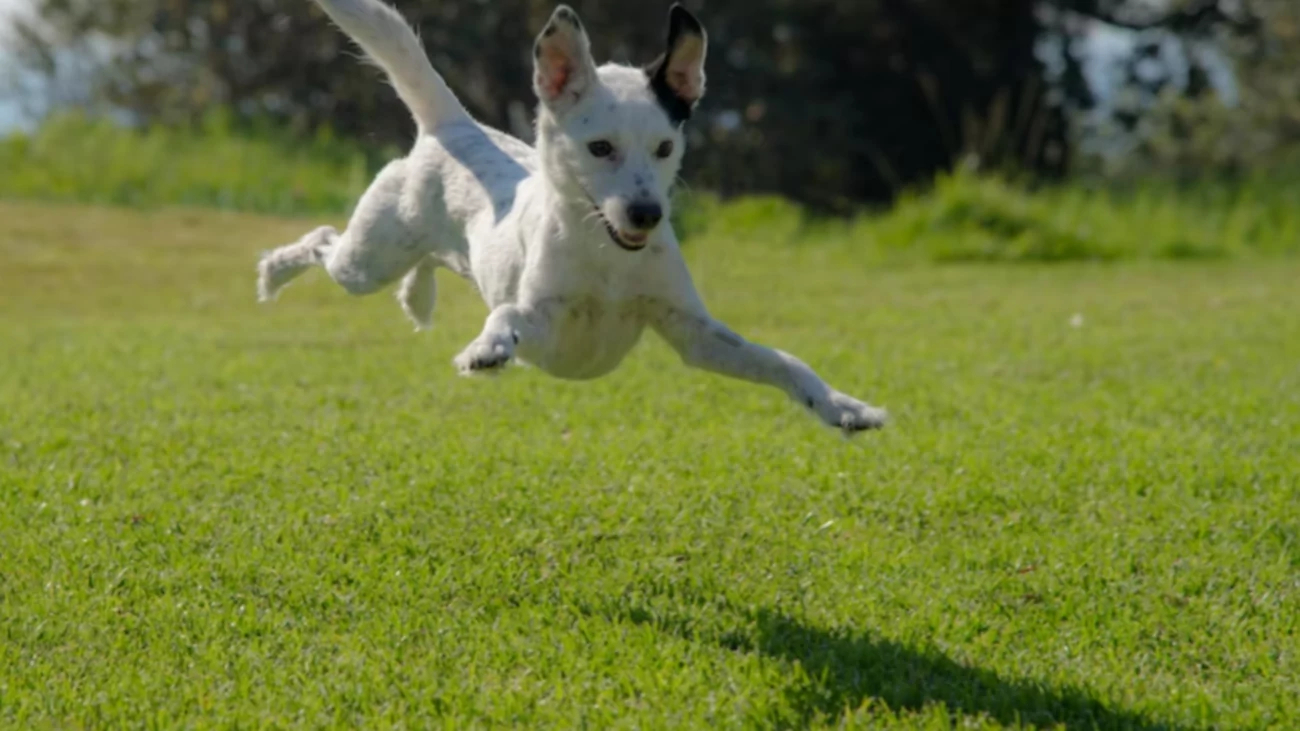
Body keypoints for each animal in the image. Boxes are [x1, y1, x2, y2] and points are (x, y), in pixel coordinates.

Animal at [256, 0, 883, 431]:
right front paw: (487, 349)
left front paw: (841, 406)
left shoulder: (695, 334)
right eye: (600, 148)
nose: (646, 213)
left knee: (428, 260)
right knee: (324, 239)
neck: (607, 260)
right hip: (367, 259)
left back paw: (416, 296)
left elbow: (783, 361)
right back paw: (274, 273)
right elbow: (507, 314)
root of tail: (453, 126)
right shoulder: (543, 321)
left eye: (665, 147)